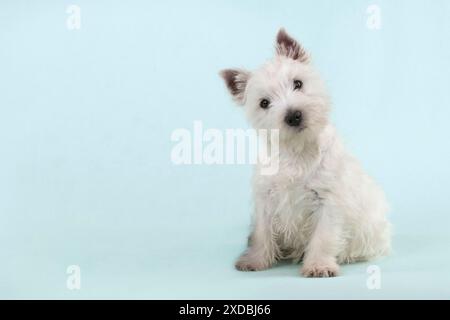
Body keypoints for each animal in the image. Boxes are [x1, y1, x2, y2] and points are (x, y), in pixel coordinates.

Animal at [220, 28, 388, 276]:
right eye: (264, 103)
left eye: (297, 83)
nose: (293, 115)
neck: (297, 150)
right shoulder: (265, 200)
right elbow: (262, 234)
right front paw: (255, 260)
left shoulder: (328, 201)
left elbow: (323, 237)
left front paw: (319, 265)